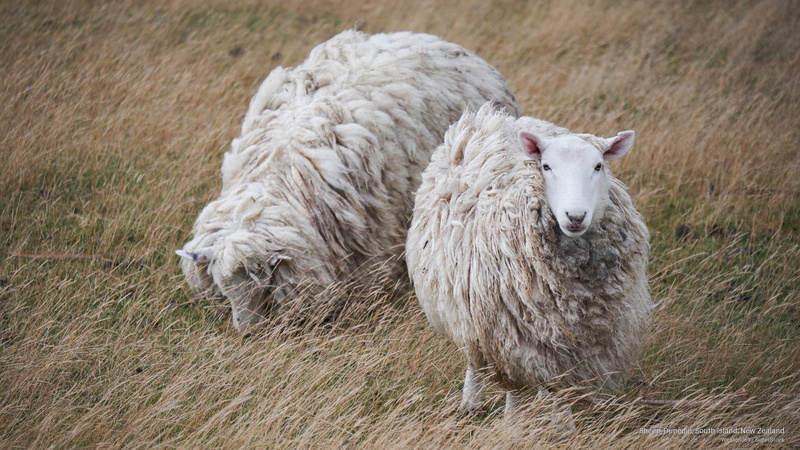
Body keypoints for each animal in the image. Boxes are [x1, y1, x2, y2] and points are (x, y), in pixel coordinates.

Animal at [406, 103, 651, 426]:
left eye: (598, 166)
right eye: (546, 166)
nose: (575, 216)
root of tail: (493, 116)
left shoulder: (577, 346)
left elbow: (562, 392)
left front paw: (564, 429)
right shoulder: (505, 336)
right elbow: (515, 391)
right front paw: (512, 424)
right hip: (466, 309)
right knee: (473, 356)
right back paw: (471, 402)